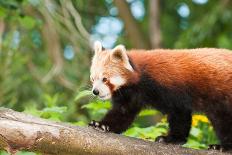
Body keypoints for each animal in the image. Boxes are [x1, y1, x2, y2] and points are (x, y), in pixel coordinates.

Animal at [88, 40, 232, 150]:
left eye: (105, 79)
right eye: (93, 79)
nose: (95, 91)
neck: (140, 81)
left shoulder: (172, 90)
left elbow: (179, 115)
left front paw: (171, 138)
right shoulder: (131, 96)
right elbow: (122, 113)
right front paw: (101, 125)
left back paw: (224, 147)